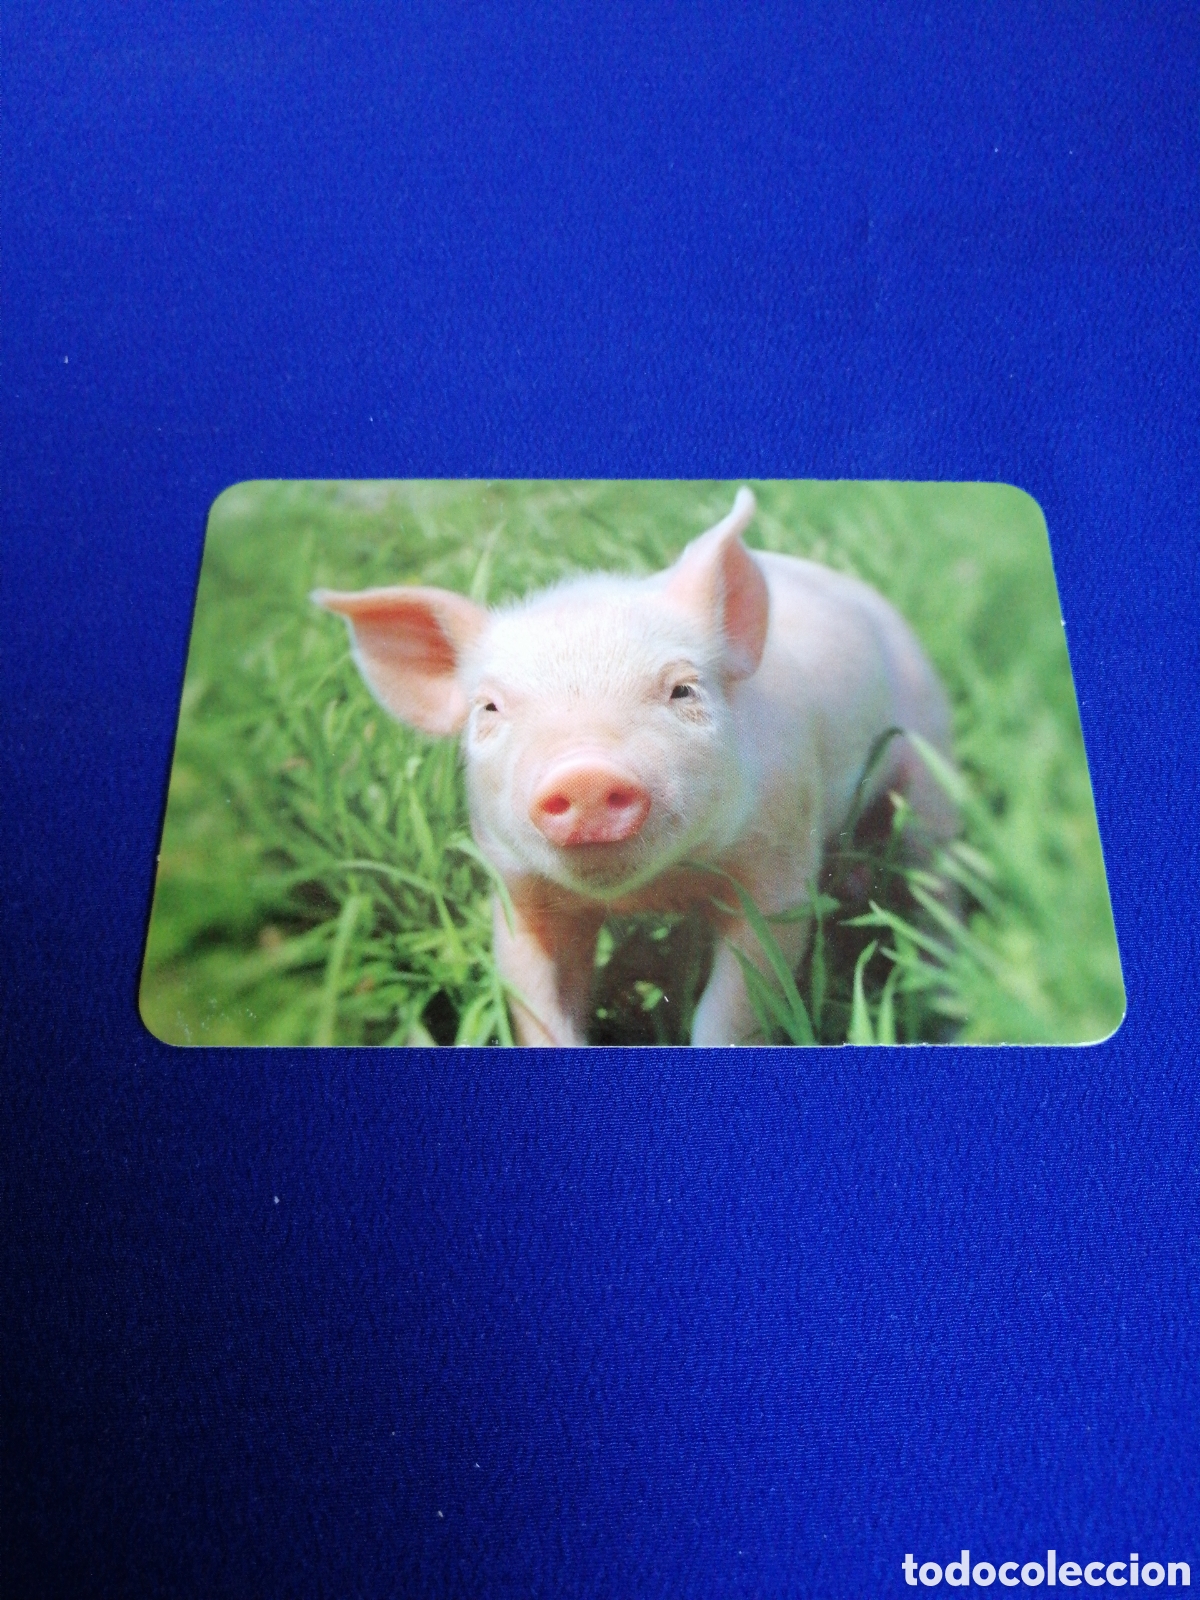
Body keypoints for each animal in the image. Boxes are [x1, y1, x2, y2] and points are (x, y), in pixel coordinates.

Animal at [313, 488, 957, 1046]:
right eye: (489, 709)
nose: (584, 773)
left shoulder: (779, 865)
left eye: (682, 690)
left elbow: (738, 1001)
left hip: (931, 757)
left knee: (936, 876)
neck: (653, 891)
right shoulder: (517, 890)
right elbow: (538, 1007)